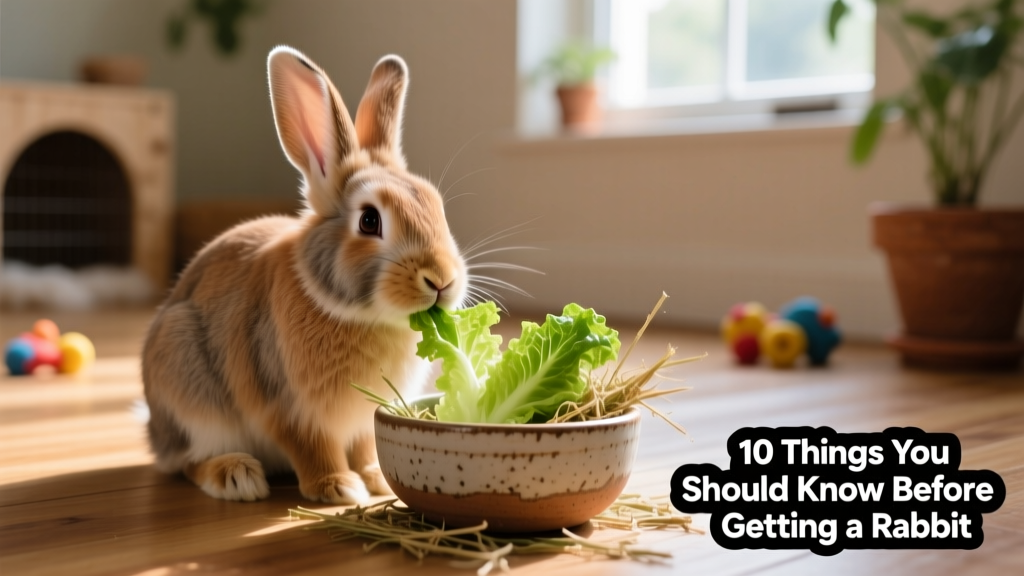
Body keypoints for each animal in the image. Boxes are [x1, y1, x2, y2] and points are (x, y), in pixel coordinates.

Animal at [142, 46, 467, 504]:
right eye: (369, 220)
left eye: (436, 205)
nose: (441, 280)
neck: (357, 314)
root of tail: (154, 431)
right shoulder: (290, 407)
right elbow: (313, 447)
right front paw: (338, 488)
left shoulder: (363, 416)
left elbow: (365, 446)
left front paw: (375, 479)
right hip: (188, 387)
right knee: (188, 461)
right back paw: (236, 475)